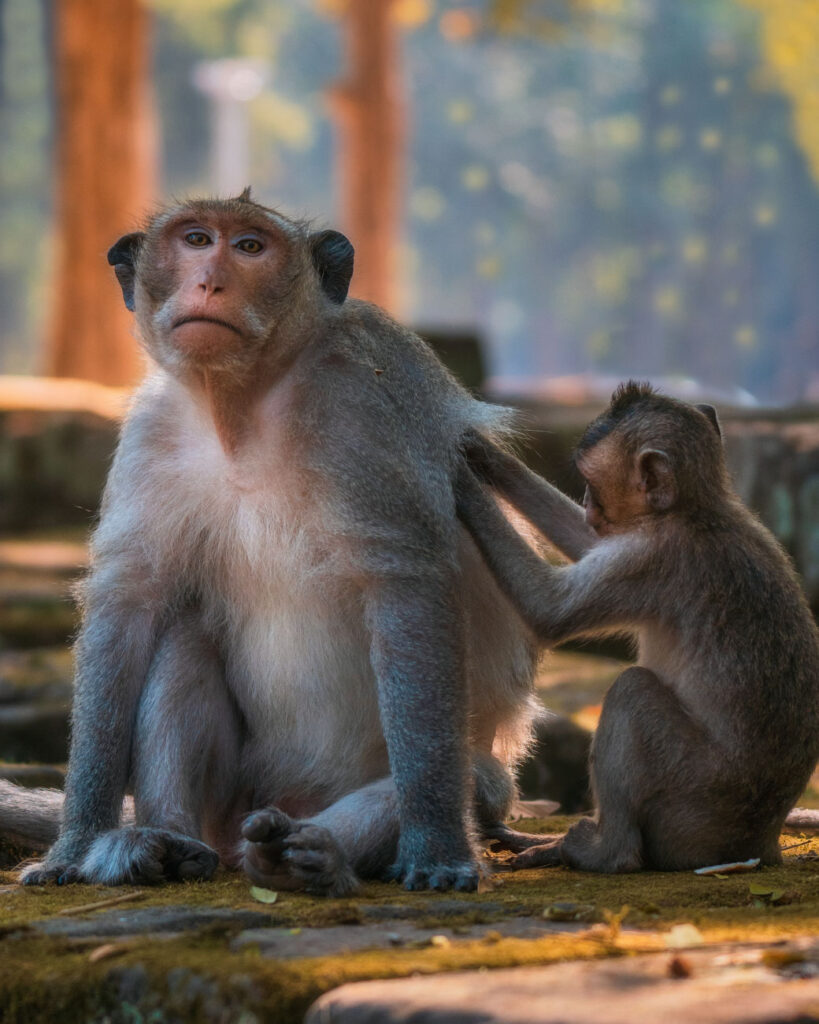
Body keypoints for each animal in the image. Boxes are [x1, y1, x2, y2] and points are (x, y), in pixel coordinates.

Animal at [1, 192, 581, 897]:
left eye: (250, 247)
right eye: (197, 239)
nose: (210, 281)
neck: (245, 401)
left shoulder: (365, 400)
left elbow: (406, 584)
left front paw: (438, 850)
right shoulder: (151, 433)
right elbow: (127, 607)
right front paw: (74, 846)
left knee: (473, 781)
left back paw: (309, 857)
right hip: (236, 800)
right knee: (184, 640)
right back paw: (168, 845)